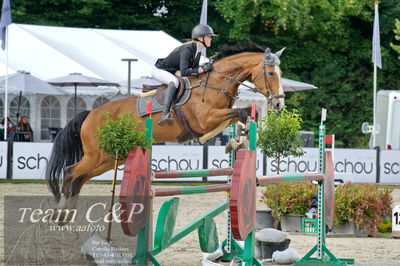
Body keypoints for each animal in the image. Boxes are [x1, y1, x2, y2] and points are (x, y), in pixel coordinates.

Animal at [46, 41, 284, 209]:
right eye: (272, 73)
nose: (279, 104)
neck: (215, 83)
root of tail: (90, 114)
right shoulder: (205, 120)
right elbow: (241, 113)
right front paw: (235, 141)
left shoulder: (219, 116)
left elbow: (244, 115)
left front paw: (236, 141)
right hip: (97, 155)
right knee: (70, 172)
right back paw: (62, 211)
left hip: (109, 158)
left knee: (79, 178)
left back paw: (68, 214)